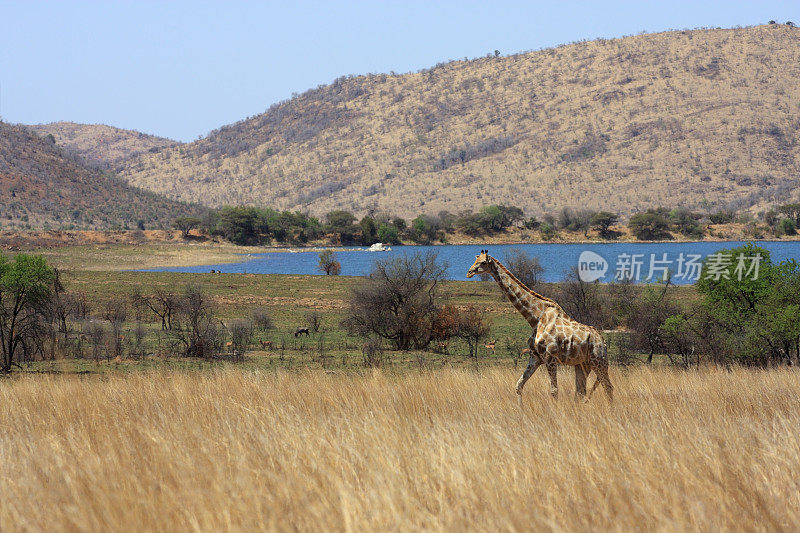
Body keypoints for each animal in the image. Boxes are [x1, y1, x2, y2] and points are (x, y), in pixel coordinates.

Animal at [462, 249, 612, 400]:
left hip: (598, 360)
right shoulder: (535, 357)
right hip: (582, 364)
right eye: (475, 260)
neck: (535, 318)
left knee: (608, 387)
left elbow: (554, 391)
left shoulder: (550, 357)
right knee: (581, 391)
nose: (469, 272)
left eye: (483, 262)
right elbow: (519, 386)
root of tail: (603, 341)